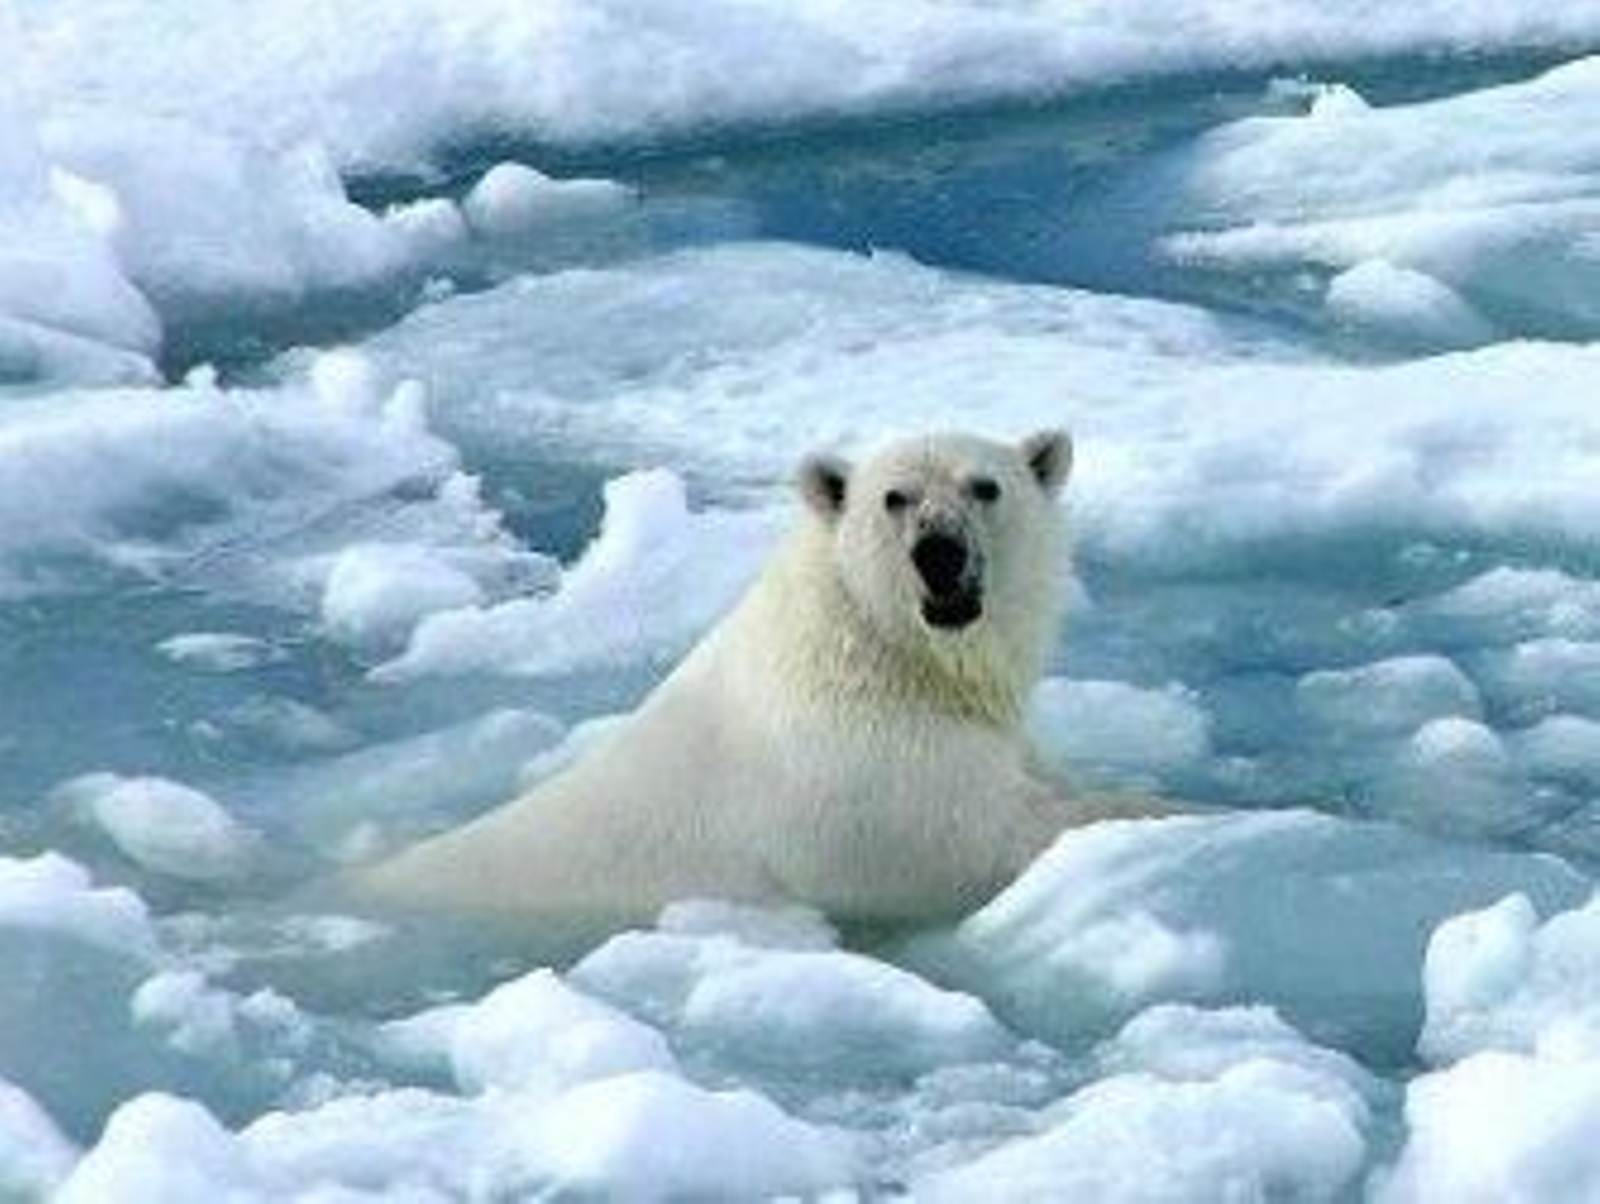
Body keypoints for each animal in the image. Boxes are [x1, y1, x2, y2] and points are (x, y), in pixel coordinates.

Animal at [353, 429, 1118, 927]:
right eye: (893, 498)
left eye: (985, 486)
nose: (939, 552)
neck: (880, 654)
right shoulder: (864, 776)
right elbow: (988, 838)